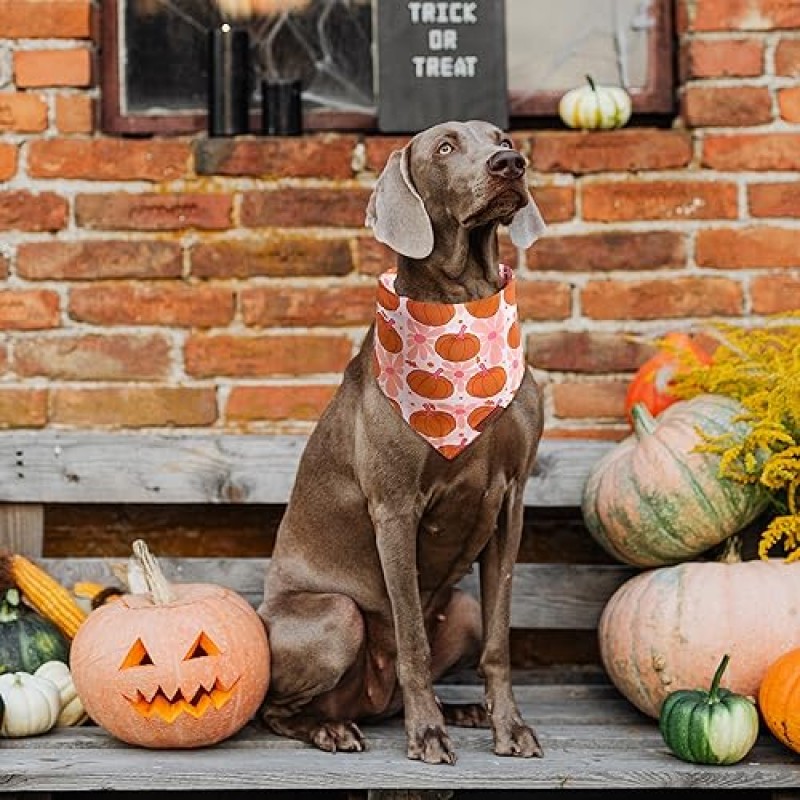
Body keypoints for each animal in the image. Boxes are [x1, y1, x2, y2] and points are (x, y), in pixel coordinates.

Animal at [260, 117, 548, 764]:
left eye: (502, 137)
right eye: (444, 147)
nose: (510, 164)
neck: (463, 305)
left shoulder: (511, 501)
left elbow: (500, 640)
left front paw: (509, 725)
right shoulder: (394, 508)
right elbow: (413, 639)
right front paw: (428, 734)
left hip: (459, 607)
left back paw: (463, 710)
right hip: (335, 616)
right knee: (274, 710)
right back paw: (334, 728)